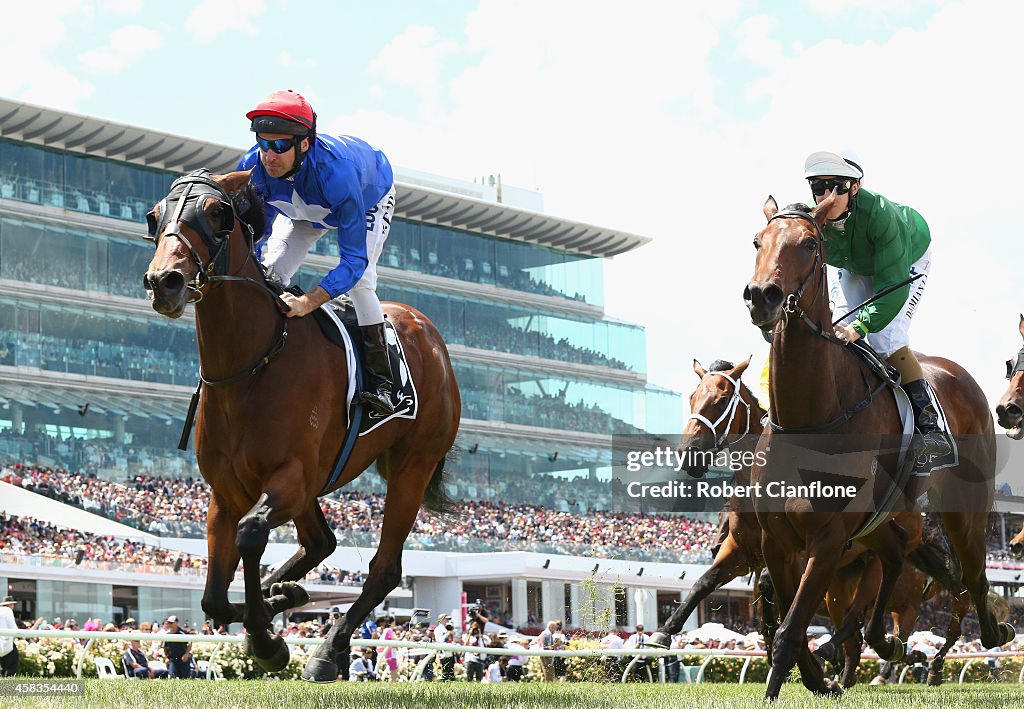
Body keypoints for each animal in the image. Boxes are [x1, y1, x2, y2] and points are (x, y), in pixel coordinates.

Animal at [142, 169, 462, 684]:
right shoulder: (226, 491)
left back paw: (328, 650)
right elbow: (213, 598)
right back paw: (287, 594)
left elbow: (251, 534)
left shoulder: (289, 476)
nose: (164, 281)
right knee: (321, 543)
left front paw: (268, 641)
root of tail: (428, 331)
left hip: (412, 466)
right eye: (155, 217)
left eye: (217, 214)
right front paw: (276, 607)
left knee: (384, 568)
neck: (253, 363)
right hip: (318, 484)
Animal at [741, 193, 1011, 696]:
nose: (762, 296)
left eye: (810, 244)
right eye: (757, 240)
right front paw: (820, 680)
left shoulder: (828, 539)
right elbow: (790, 622)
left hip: (966, 511)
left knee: (974, 577)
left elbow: (791, 628)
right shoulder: (777, 541)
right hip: (878, 520)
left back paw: (990, 631)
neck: (811, 417)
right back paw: (888, 642)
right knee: (896, 552)